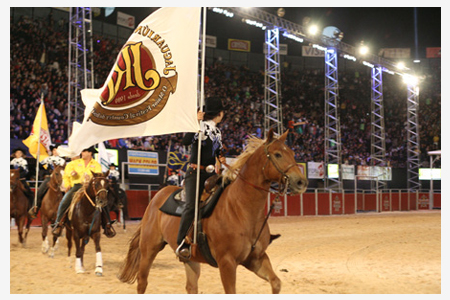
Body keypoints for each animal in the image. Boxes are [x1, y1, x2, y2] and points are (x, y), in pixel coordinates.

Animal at [118, 129, 308, 292]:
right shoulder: (227, 263)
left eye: (292, 154)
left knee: (191, 287)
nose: (301, 182)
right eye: (277, 154)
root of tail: (157, 197)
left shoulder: (256, 259)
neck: (241, 208)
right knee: (142, 282)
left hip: (190, 259)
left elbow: (276, 283)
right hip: (149, 249)